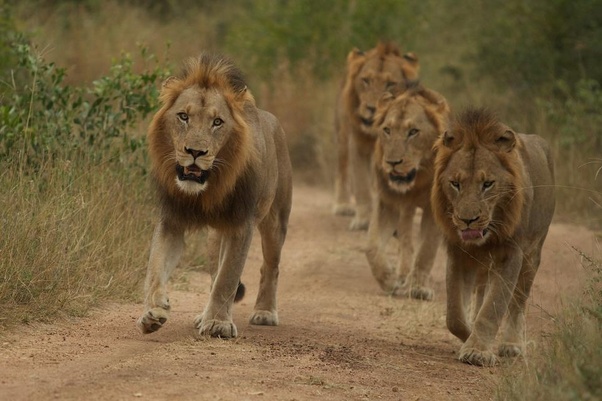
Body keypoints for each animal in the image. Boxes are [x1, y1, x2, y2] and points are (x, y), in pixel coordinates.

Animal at [138, 53, 292, 338]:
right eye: (183, 116)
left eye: (217, 122)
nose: (195, 151)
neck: (207, 189)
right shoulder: (171, 220)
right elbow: (155, 267)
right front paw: (153, 312)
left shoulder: (241, 224)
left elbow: (227, 278)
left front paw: (218, 324)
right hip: (213, 237)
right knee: (213, 273)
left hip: (276, 222)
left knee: (270, 266)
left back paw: (265, 312)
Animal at [332, 41, 418, 230]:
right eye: (366, 80)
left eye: (390, 83)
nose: (372, 108)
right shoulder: (357, 145)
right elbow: (362, 185)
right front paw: (363, 220)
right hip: (342, 134)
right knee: (343, 167)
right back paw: (343, 205)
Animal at [364, 85, 448, 300]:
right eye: (387, 130)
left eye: (413, 132)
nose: (393, 163)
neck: (414, 185)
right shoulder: (387, 203)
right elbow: (372, 247)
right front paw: (389, 281)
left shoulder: (432, 210)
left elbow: (426, 250)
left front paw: (418, 288)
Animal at [428, 107, 556, 366]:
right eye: (455, 183)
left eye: (487, 184)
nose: (468, 220)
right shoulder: (458, 253)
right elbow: (454, 315)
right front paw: (470, 337)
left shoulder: (511, 254)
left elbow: (494, 306)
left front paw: (477, 350)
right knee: (480, 294)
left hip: (532, 255)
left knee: (518, 302)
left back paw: (512, 344)